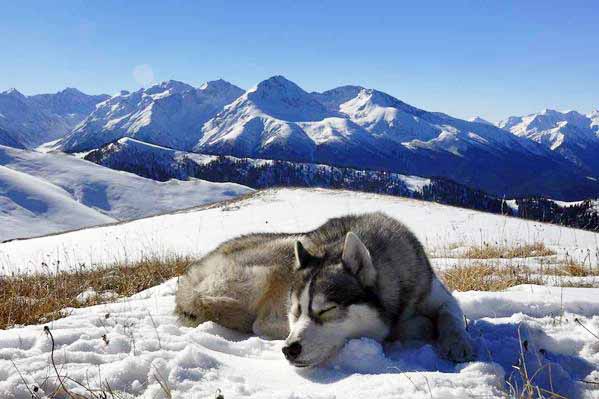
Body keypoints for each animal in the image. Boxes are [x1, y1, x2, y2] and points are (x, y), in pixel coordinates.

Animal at [176, 214, 476, 368]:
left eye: (328, 310)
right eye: (296, 311)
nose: (290, 350)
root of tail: (191, 277)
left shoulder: (437, 294)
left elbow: (451, 316)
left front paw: (458, 344)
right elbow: (404, 327)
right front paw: (418, 327)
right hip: (276, 259)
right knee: (259, 324)